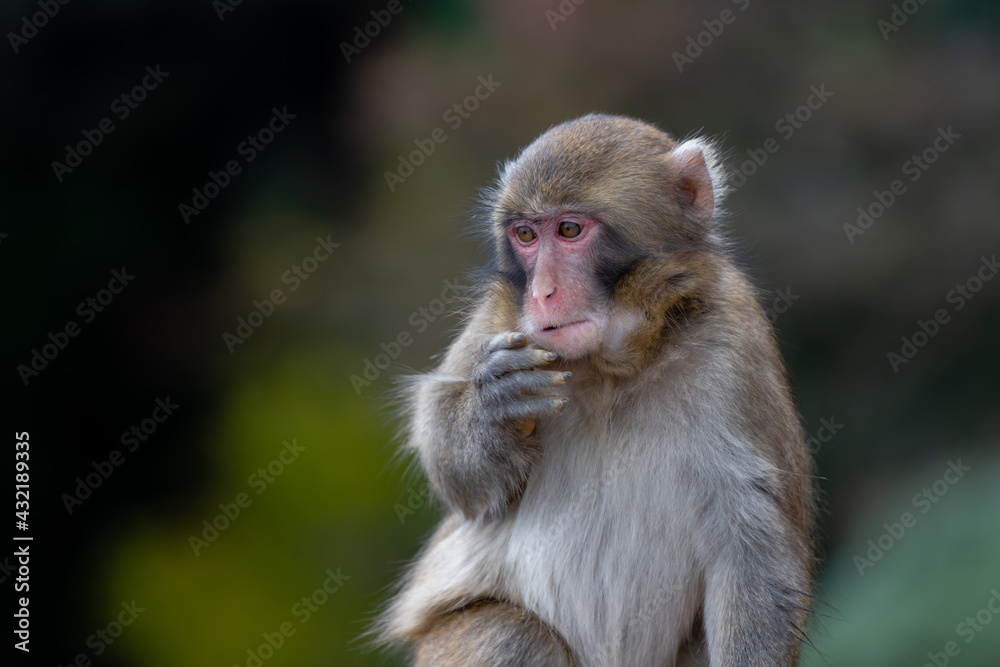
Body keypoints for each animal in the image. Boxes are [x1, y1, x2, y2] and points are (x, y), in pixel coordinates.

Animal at [376, 112, 812, 664]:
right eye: (525, 235)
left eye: (569, 230)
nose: (542, 293)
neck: (612, 368)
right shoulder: (500, 321)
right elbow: (460, 479)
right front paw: (493, 407)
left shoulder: (731, 339)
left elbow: (752, 552)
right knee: (509, 631)